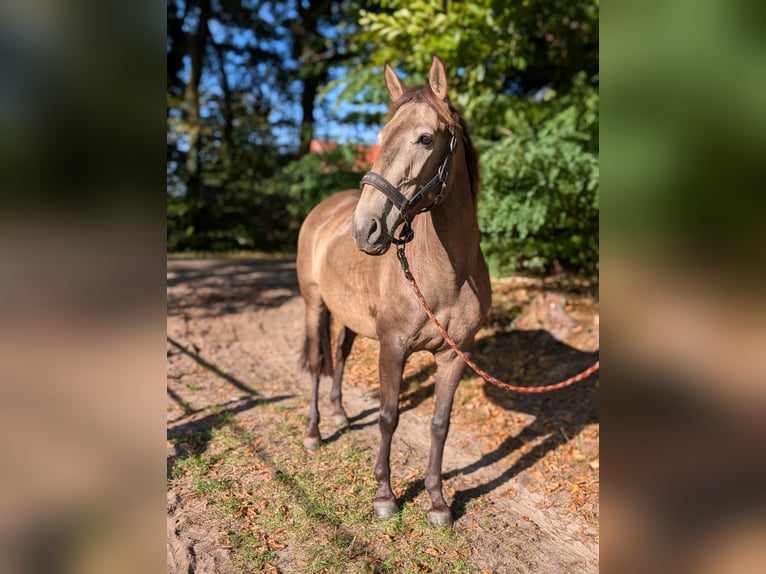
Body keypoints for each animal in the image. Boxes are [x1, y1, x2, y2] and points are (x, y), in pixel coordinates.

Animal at [296, 55, 491, 526]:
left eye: (425, 138)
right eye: (381, 138)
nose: (365, 229)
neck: (446, 274)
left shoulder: (455, 356)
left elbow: (440, 423)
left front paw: (437, 501)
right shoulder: (394, 347)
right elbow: (388, 416)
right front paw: (384, 495)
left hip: (348, 317)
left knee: (340, 355)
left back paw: (339, 413)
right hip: (313, 305)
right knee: (316, 364)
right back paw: (314, 432)